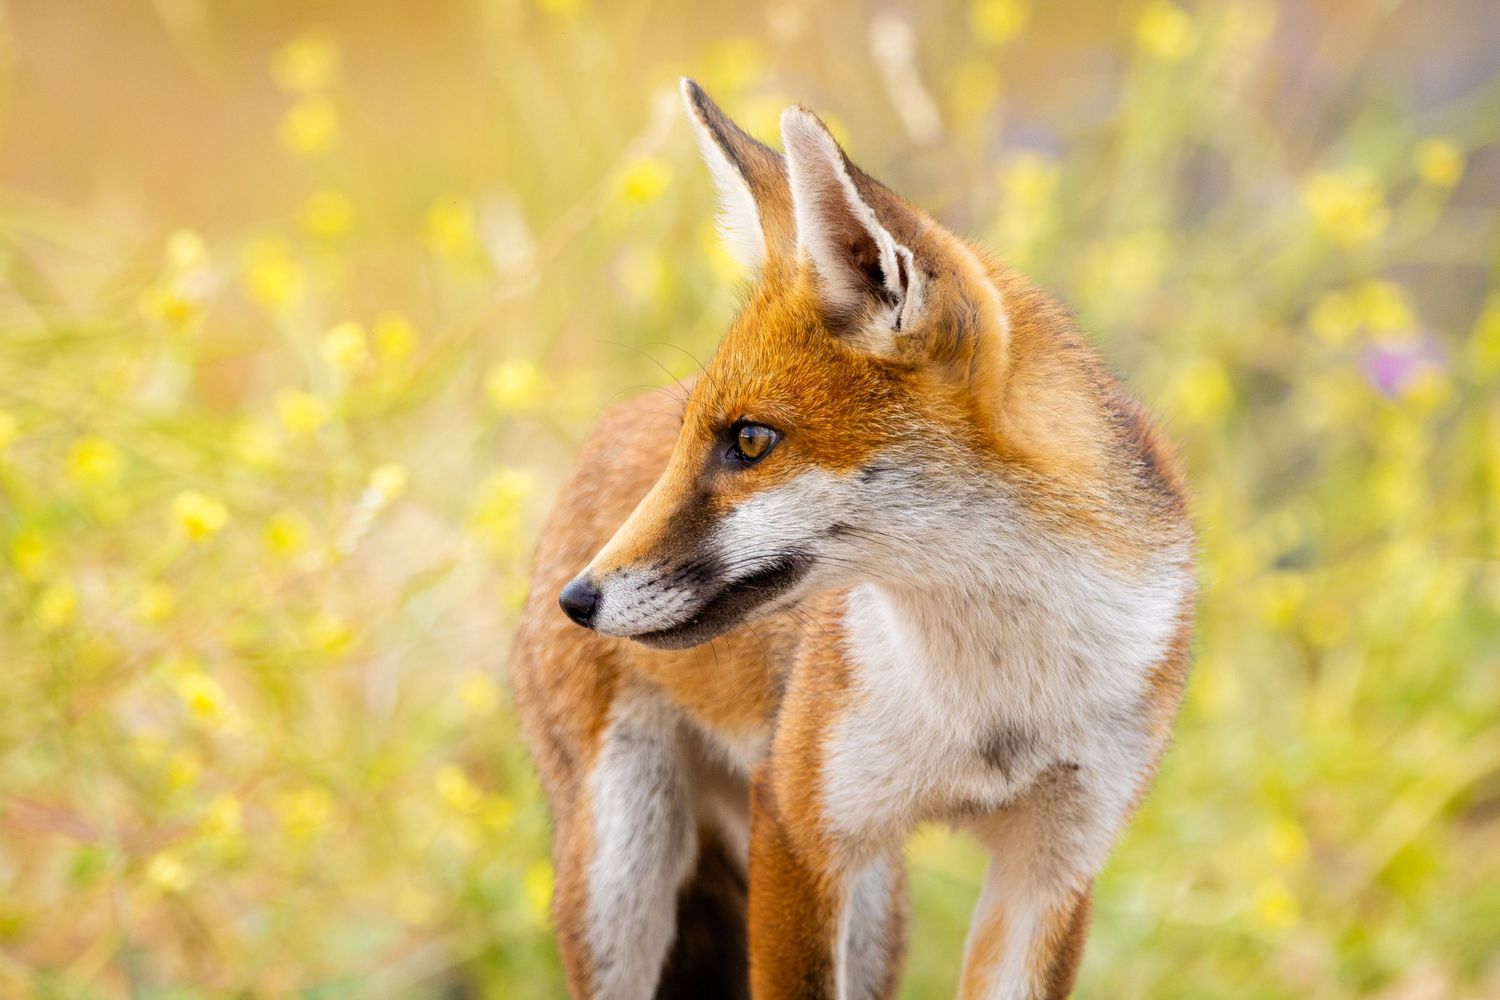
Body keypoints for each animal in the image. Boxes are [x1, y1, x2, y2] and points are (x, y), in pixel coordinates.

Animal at [510, 79, 1194, 1000]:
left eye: (750, 441)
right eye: (692, 437)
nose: (577, 600)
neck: (997, 701)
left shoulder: (1054, 863)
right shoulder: (799, 826)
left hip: (874, 910)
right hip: (623, 879)